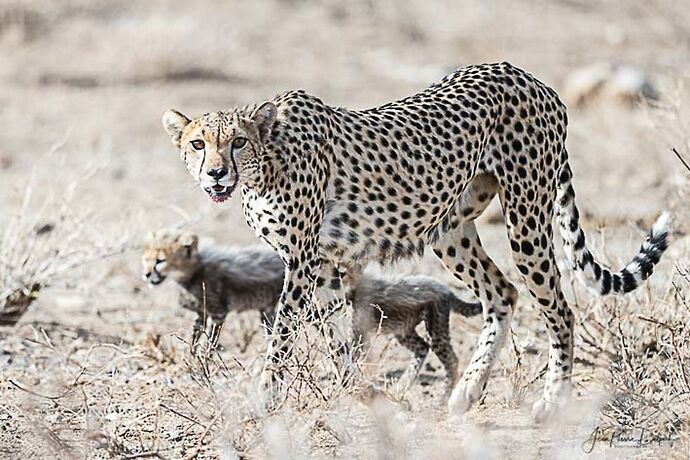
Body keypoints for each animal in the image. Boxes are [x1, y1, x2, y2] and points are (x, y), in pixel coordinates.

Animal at [161, 63, 668, 422]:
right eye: (198, 144)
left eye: (238, 142)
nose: (215, 173)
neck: (267, 163)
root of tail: (528, 76)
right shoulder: (323, 265)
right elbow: (336, 339)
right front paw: (355, 394)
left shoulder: (303, 261)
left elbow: (283, 336)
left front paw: (265, 397)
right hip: (449, 229)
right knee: (502, 293)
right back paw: (468, 391)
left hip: (526, 216)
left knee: (558, 307)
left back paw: (552, 401)